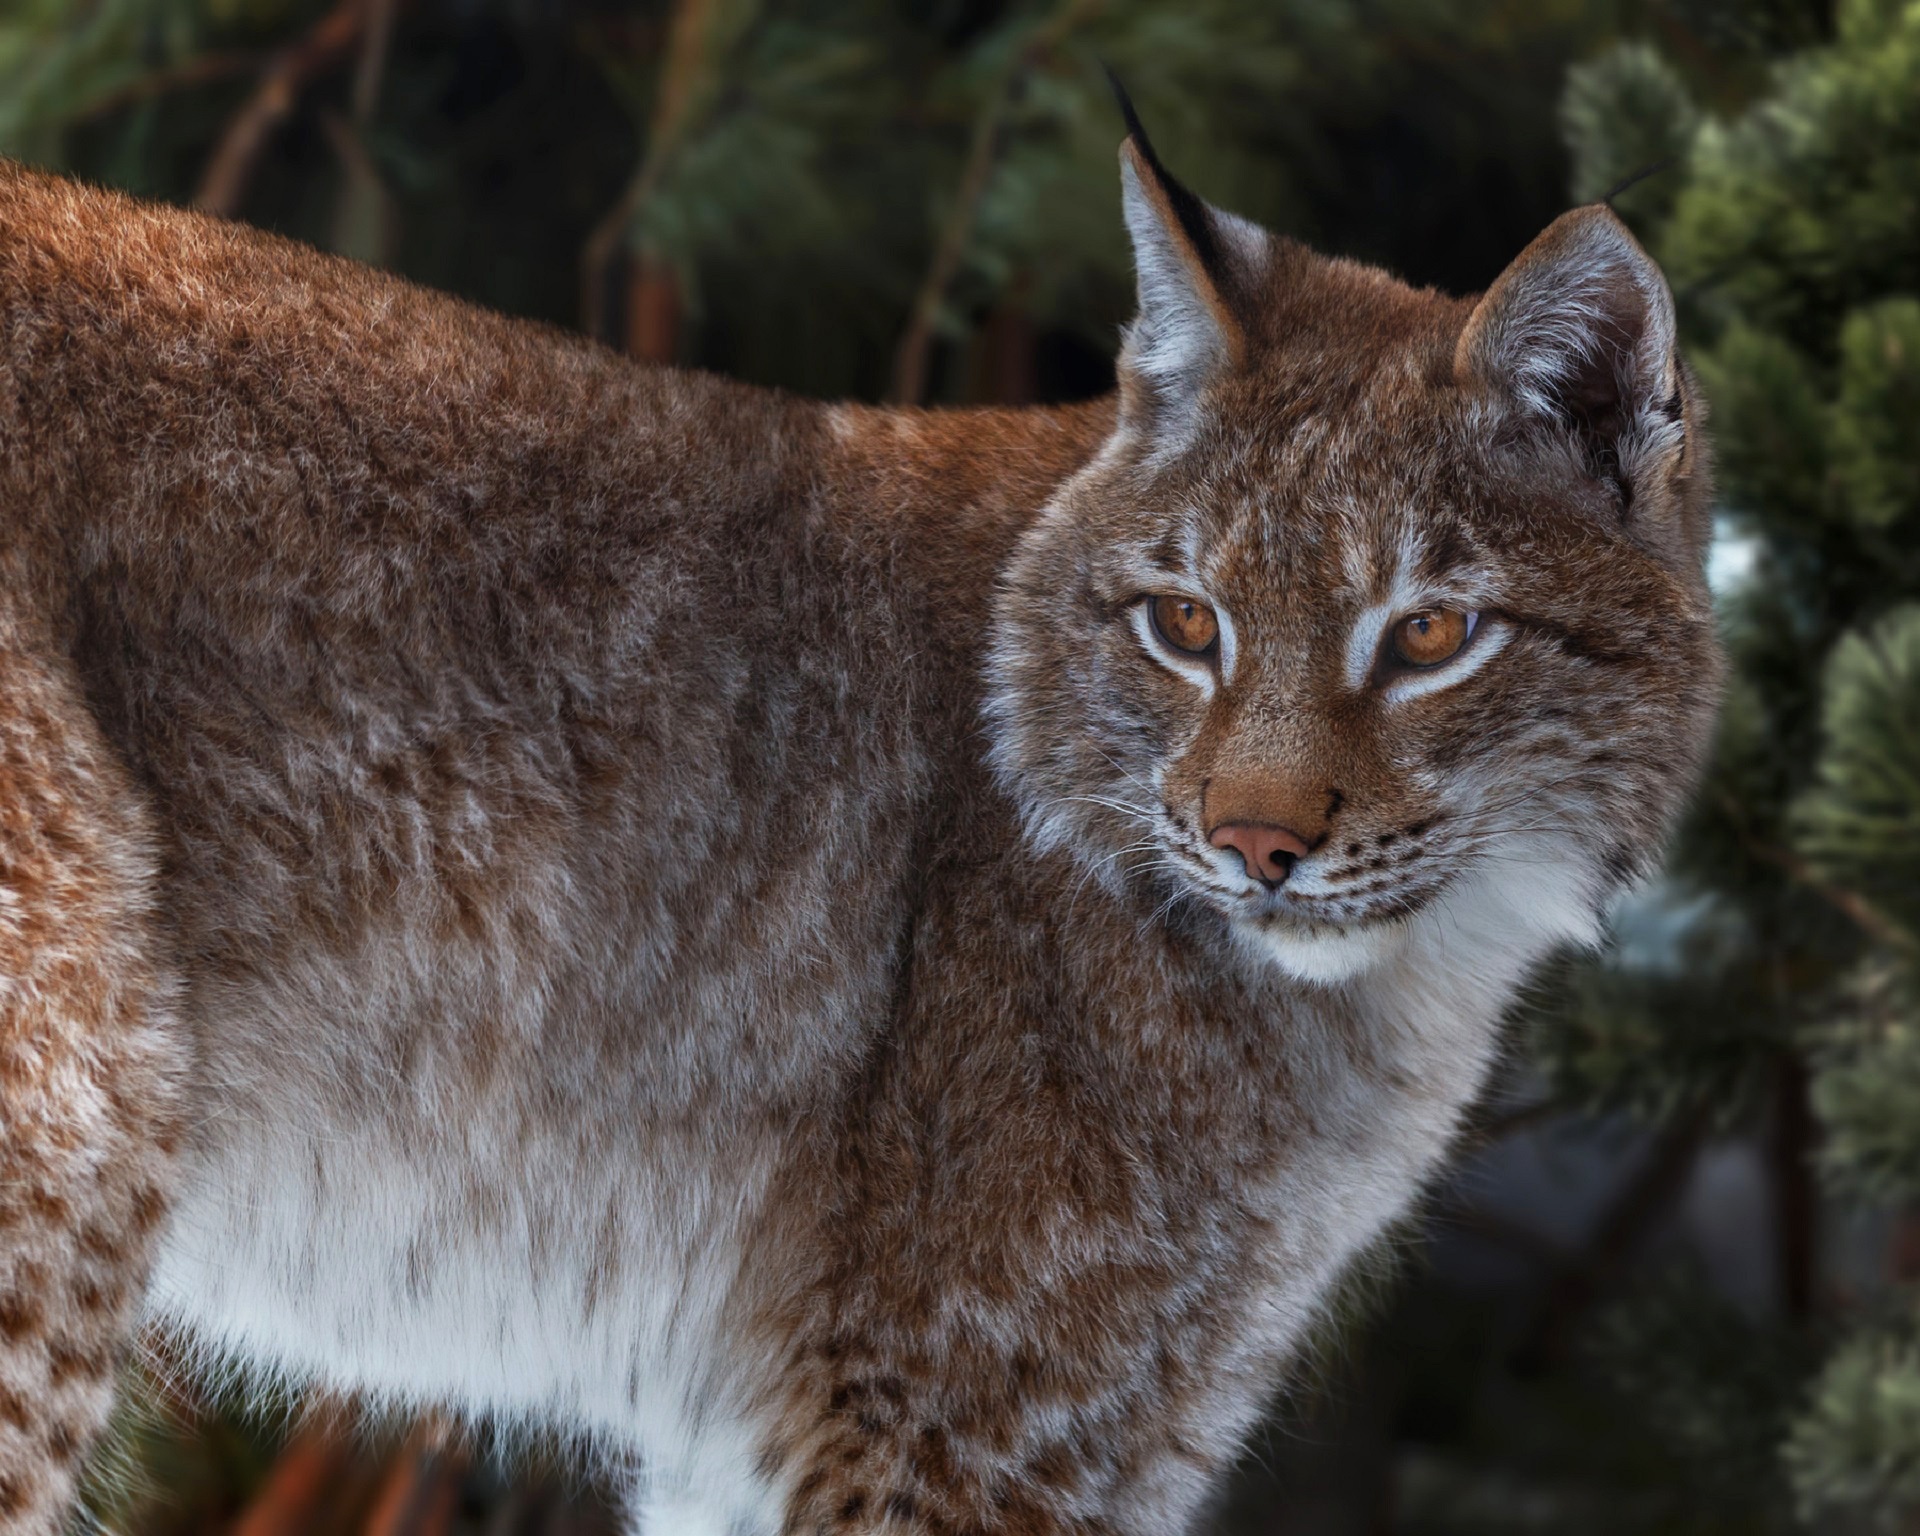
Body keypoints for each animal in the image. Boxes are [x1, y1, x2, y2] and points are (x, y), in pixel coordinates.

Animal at [0, 98, 1728, 1536]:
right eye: (1187, 625)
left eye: (1429, 637)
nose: (1255, 849)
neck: (1412, 984)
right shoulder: (961, 1411)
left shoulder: (807, 1430)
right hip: (78, 1126)